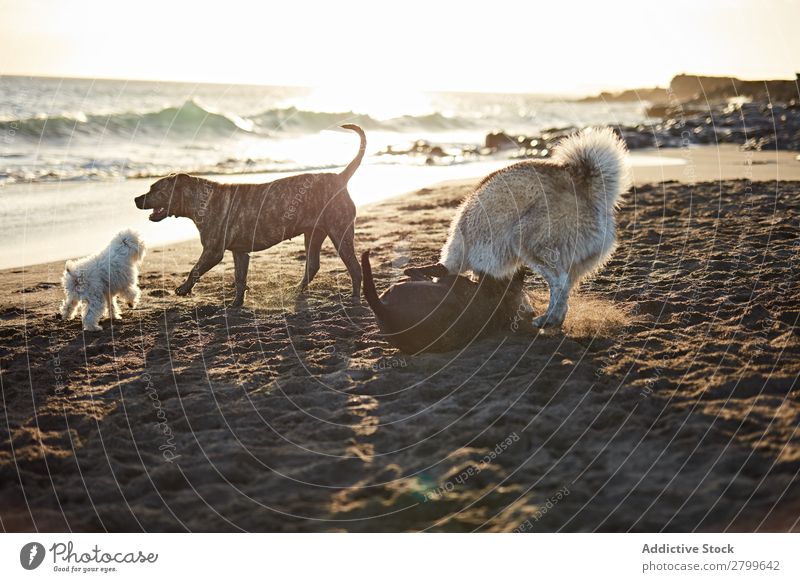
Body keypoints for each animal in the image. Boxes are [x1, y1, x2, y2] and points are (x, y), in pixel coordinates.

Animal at [134, 125, 366, 308]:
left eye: (154, 188)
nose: (136, 198)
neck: (200, 198)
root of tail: (340, 178)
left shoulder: (213, 251)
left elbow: (195, 270)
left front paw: (184, 288)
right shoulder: (240, 252)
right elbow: (239, 279)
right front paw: (237, 303)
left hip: (340, 232)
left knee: (355, 267)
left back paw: (354, 296)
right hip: (314, 233)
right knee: (313, 265)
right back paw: (297, 289)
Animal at [406, 127, 632, 328]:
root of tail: (585, 191)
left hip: (525, 239)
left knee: (559, 283)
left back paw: (548, 319)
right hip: (573, 260)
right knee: (565, 289)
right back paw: (554, 318)